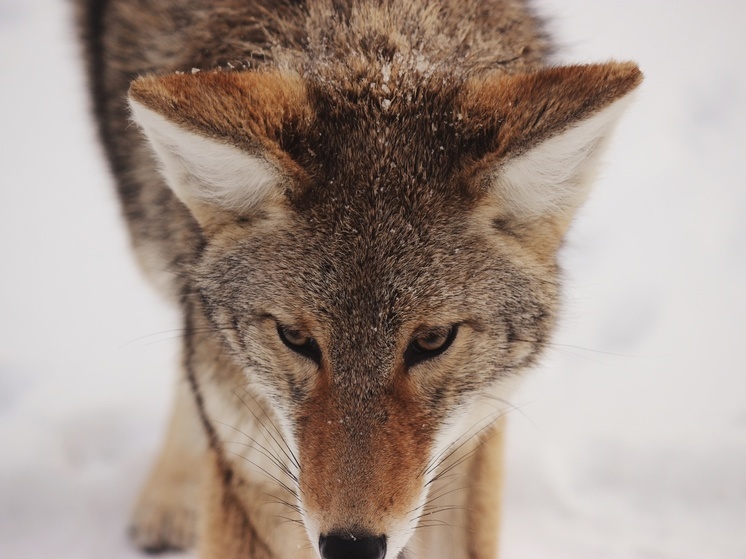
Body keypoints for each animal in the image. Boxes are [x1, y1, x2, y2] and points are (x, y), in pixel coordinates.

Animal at [77, 1, 640, 559]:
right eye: (295, 338)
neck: (372, 33)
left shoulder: (470, 438)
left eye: (433, 340)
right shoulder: (253, 467)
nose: (351, 547)